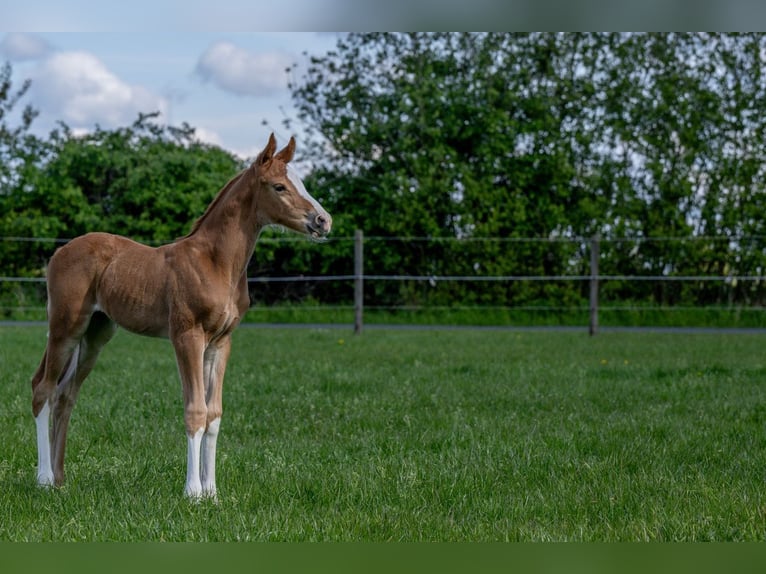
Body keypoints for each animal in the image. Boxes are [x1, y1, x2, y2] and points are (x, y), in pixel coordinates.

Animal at [31, 133, 332, 498]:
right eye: (279, 186)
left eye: (300, 182)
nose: (323, 221)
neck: (215, 263)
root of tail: (60, 251)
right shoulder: (187, 336)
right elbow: (195, 411)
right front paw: (192, 492)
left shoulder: (220, 343)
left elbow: (214, 414)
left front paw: (212, 493)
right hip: (65, 326)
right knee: (43, 389)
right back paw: (44, 479)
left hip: (95, 334)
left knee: (66, 395)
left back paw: (60, 480)